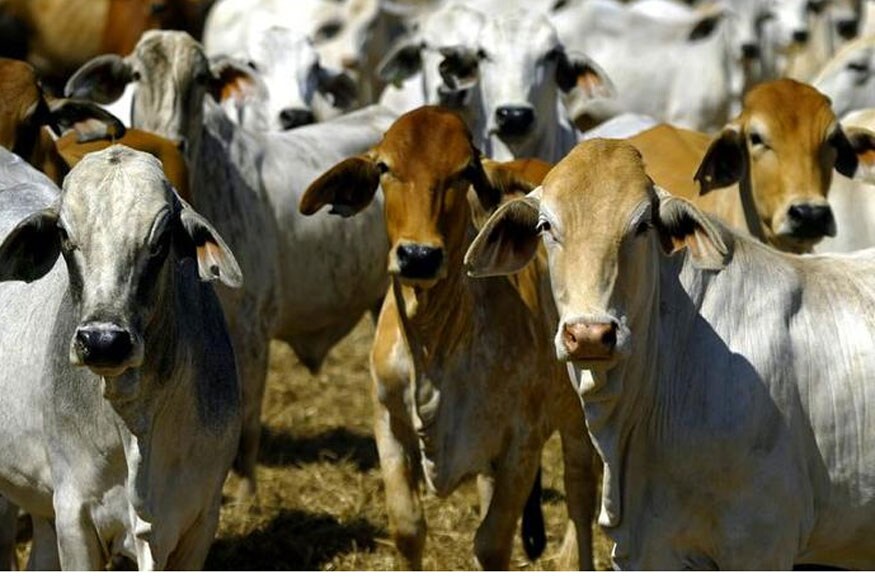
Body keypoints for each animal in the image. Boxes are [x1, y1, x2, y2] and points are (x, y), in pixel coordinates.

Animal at [0, 145, 242, 570]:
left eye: (161, 238)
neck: (137, 421)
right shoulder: (75, 514)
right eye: (64, 234)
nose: (103, 341)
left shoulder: (202, 518)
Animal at [65, 30, 394, 496]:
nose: (170, 140)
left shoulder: (253, 331)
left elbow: (247, 423)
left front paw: (246, 493)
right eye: (137, 75)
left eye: (202, 79)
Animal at [299, 106, 599, 571]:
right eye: (384, 168)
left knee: (581, 496)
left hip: (577, 418)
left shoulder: (522, 445)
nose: (419, 256)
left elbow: (492, 544)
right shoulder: (388, 425)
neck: (432, 346)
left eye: (464, 172)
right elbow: (408, 528)